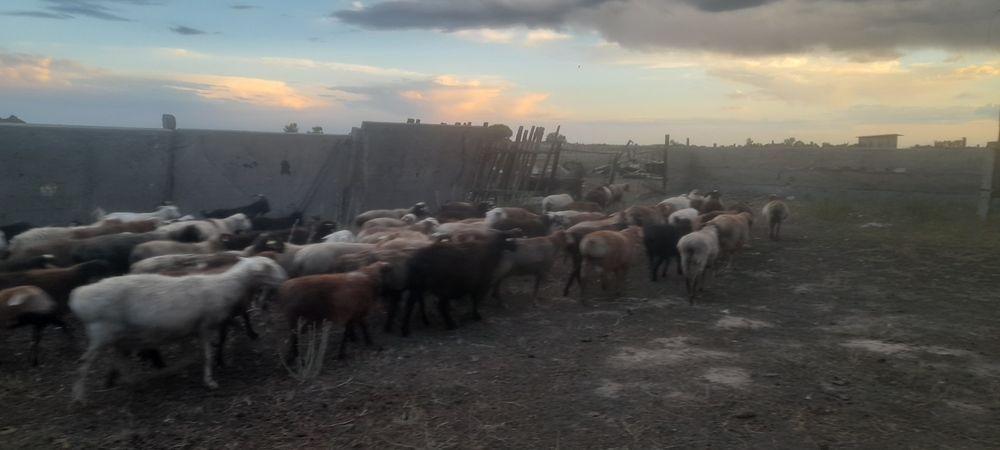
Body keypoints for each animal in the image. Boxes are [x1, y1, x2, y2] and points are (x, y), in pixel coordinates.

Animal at [69, 256, 287, 403]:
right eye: (269, 267)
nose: (285, 278)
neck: (228, 286)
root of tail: (79, 296)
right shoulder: (205, 326)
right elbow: (207, 354)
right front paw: (209, 380)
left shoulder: (193, 327)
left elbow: (196, 347)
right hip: (101, 333)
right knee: (84, 364)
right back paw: (79, 397)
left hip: (117, 336)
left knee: (119, 360)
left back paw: (133, 382)